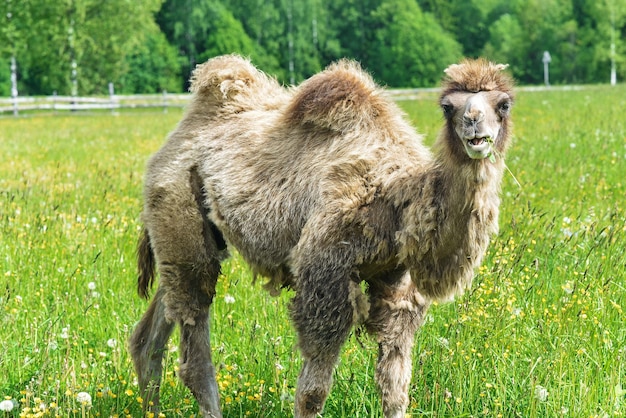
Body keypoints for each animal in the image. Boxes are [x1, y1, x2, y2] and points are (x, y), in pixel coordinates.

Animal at [128, 55, 512, 418]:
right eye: (448, 106)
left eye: (504, 104)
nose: (474, 126)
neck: (395, 199)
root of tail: (172, 143)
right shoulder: (324, 274)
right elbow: (312, 393)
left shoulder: (397, 281)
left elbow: (395, 386)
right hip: (179, 209)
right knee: (194, 351)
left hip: (181, 240)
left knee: (151, 334)